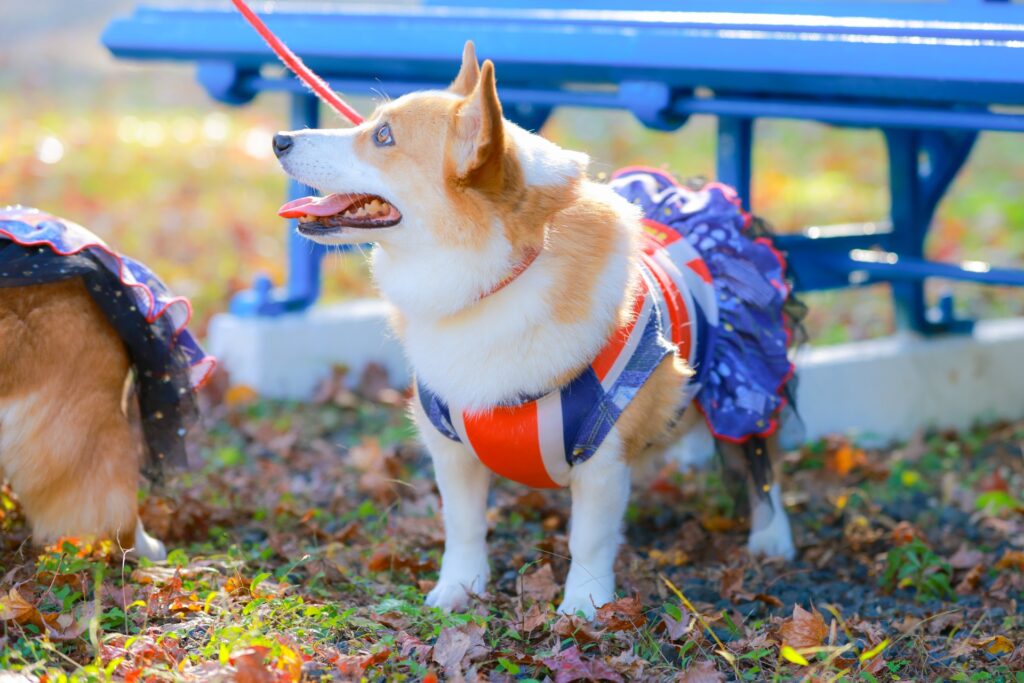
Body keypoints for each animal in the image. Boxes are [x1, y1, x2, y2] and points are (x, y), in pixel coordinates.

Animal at [274, 44, 798, 618]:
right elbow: (463, 525)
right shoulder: (450, 448)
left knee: (760, 458)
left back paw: (772, 538)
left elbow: (589, 539)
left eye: (384, 136)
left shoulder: (602, 457)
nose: (279, 140)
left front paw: (584, 608)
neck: (492, 282)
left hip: (747, 383)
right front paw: (457, 589)